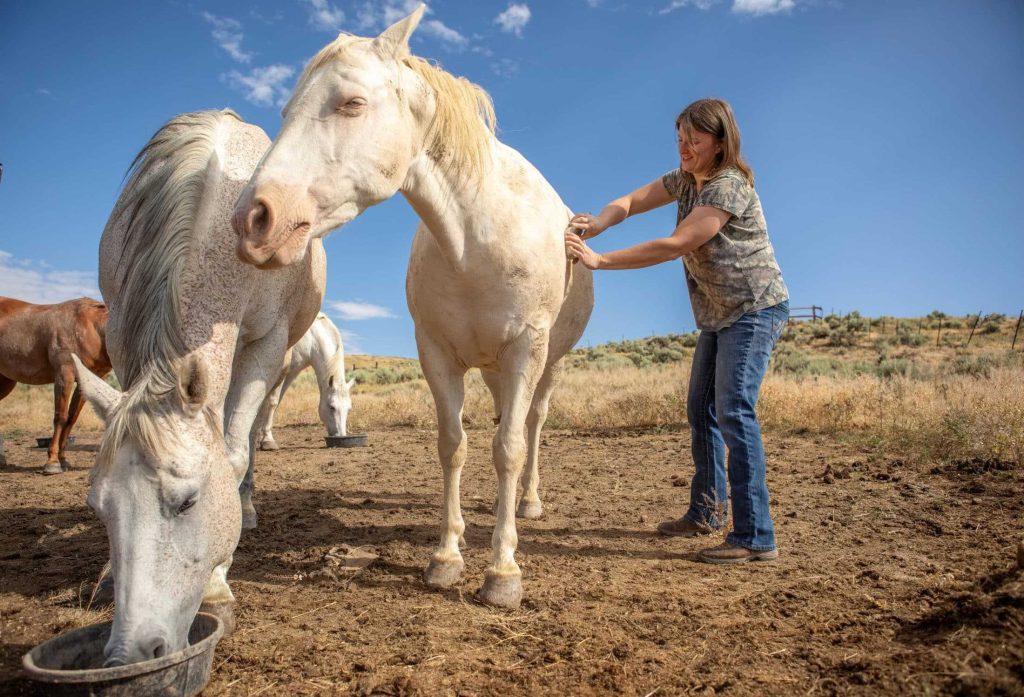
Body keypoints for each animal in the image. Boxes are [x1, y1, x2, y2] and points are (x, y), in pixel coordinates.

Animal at [0, 296, 112, 473]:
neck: (89, 325)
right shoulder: (64, 375)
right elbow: (60, 417)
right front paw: (52, 462)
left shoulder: (85, 381)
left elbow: (72, 418)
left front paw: (63, 459)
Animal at [72, 109, 325, 665]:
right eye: (99, 508)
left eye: (188, 502)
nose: (130, 653)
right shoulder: (121, 333)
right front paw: (108, 576)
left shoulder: (266, 343)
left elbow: (232, 453)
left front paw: (216, 585)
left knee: (245, 438)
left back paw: (246, 509)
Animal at [255, 312, 355, 450]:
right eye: (331, 407)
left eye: (349, 408)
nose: (340, 437)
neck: (310, 338)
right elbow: (271, 402)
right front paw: (267, 440)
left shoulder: (291, 372)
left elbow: (274, 401)